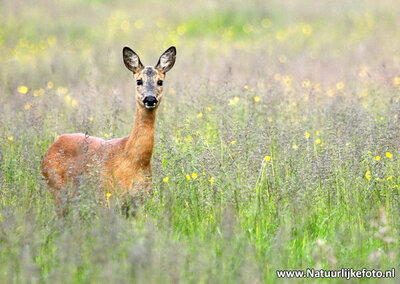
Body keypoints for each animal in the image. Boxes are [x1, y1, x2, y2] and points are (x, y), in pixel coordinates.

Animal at [41, 46, 177, 215]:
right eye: (139, 81)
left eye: (160, 81)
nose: (150, 99)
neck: (133, 159)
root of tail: (53, 145)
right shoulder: (108, 197)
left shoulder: (139, 201)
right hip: (56, 188)